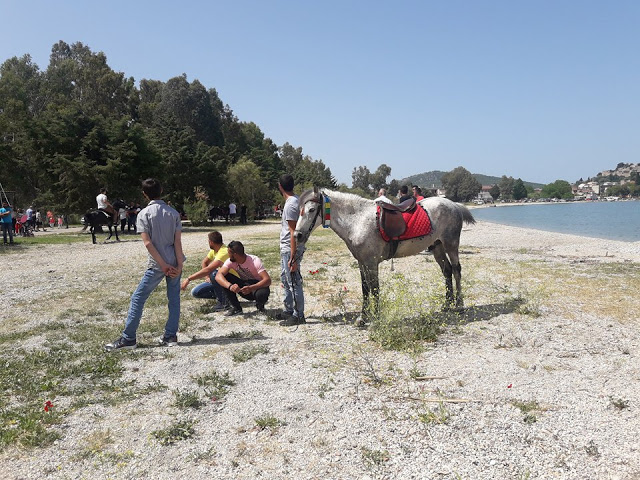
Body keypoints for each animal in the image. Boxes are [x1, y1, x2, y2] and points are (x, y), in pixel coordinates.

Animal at [296, 187, 476, 322]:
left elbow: (374, 288)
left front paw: (375, 316)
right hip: (437, 247)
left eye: (311, 209)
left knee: (456, 270)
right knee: (447, 271)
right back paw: (446, 305)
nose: (297, 235)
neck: (358, 220)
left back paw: (459, 305)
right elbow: (365, 288)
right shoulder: (362, 262)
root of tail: (453, 204)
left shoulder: (371, 262)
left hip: (451, 245)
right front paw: (363, 317)